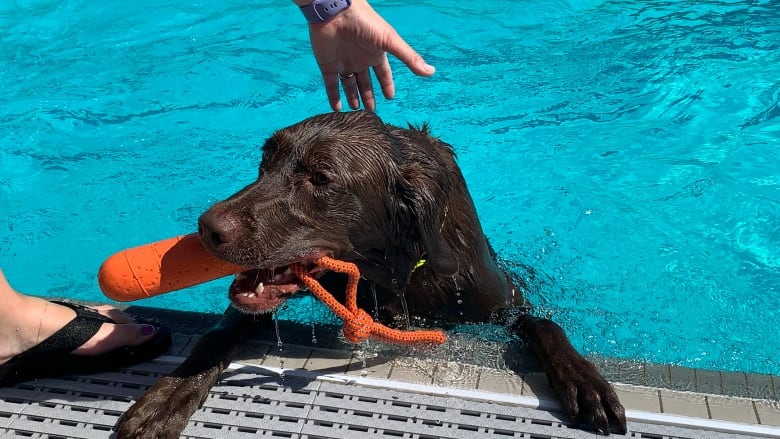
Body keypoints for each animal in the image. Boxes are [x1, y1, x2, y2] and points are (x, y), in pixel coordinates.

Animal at [117, 111, 628, 438]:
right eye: (265, 160)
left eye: (321, 178)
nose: (206, 228)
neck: (395, 274)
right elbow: (220, 331)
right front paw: (169, 395)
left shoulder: (502, 298)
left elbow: (543, 323)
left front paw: (586, 381)